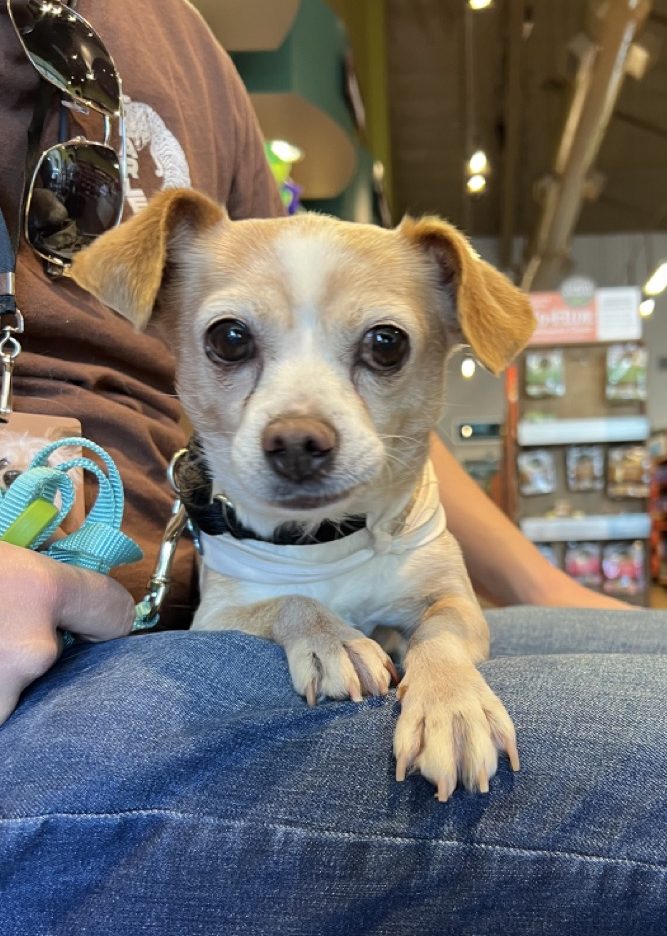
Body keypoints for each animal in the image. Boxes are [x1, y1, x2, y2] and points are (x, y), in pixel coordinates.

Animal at [70, 188, 536, 796]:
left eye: (387, 344)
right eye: (229, 338)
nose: (296, 440)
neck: (324, 538)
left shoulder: (454, 600)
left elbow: (440, 637)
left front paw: (452, 706)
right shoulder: (217, 616)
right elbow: (292, 600)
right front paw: (333, 640)